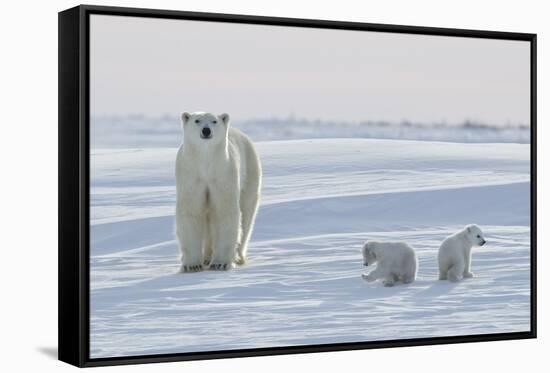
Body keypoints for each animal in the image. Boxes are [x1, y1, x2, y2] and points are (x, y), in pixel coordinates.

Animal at [177, 110, 264, 270]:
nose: (206, 130)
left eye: (214, 121)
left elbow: (225, 211)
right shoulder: (191, 174)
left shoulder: (223, 172)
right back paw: (206, 258)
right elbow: (191, 211)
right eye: (197, 120)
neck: (206, 162)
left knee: (247, 214)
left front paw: (220, 263)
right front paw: (192, 265)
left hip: (251, 170)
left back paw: (238, 256)